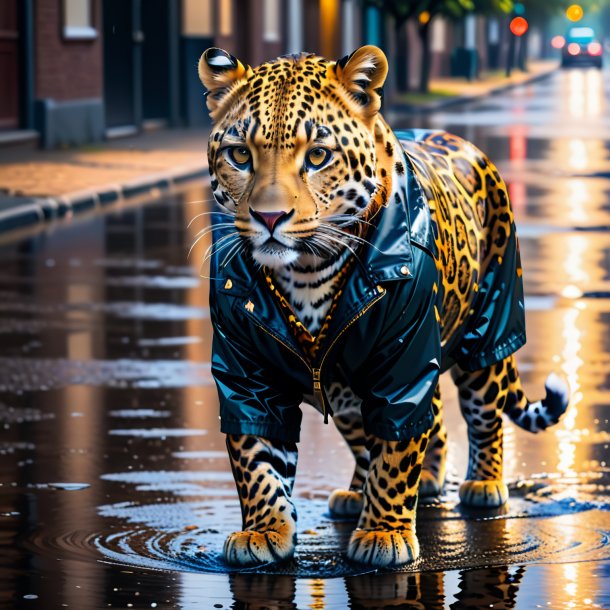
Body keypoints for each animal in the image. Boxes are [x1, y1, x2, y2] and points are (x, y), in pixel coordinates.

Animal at [197, 45, 568, 568]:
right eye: (240, 155)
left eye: (317, 156)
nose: (269, 218)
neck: (307, 272)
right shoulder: (245, 371)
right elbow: (256, 455)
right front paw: (264, 530)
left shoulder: (405, 361)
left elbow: (395, 451)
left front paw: (383, 533)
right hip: (346, 384)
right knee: (401, 428)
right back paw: (374, 489)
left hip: (486, 333)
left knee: (483, 413)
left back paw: (482, 484)